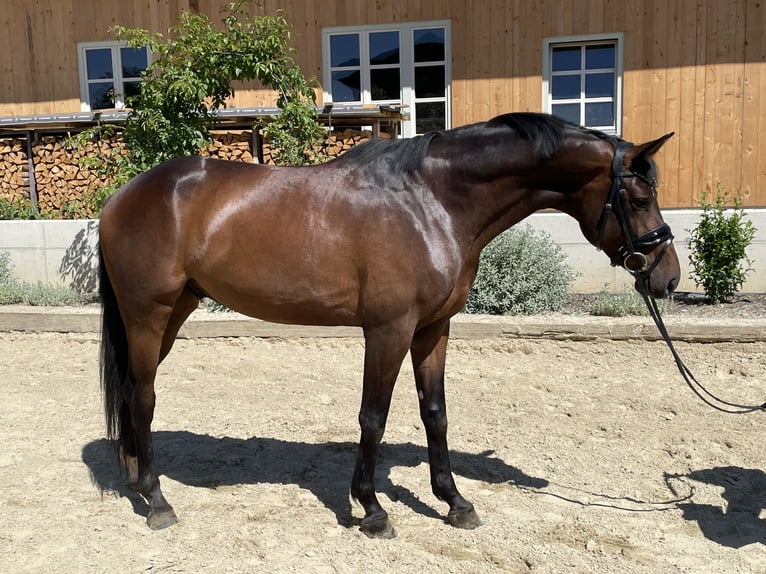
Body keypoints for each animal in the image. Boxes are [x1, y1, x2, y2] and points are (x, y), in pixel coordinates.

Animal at [99, 112, 680, 540]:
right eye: (638, 198)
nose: (668, 278)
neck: (432, 202)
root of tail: (122, 196)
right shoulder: (388, 330)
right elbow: (373, 417)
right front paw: (372, 509)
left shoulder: (433, 330)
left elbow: (435, 415)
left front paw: (455, 502)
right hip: (149, 315)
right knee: (143, 396)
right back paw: (157, 500)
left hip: (173, 313)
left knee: (129, 391)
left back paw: (133, 478)